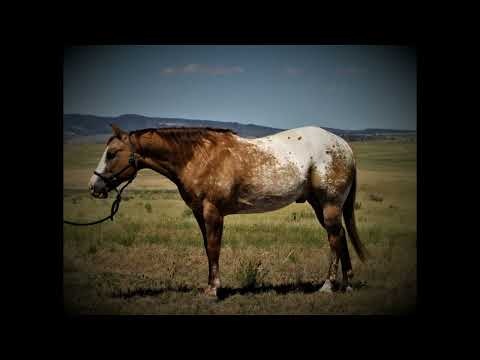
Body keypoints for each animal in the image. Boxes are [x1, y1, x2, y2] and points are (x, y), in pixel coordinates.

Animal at [89, 124, 368, 296]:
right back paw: (346, 284)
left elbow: (214, 247)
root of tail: (344, 146)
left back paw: (328, 285)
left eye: (112, 153)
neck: (198, 157)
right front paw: (209, 285)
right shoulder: (199, 213)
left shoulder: (213, 212)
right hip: (321, 206)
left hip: (329, 205)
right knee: (340, 236)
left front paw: (214, 289)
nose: (94, 186)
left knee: (334, 239)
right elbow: (207, 248)